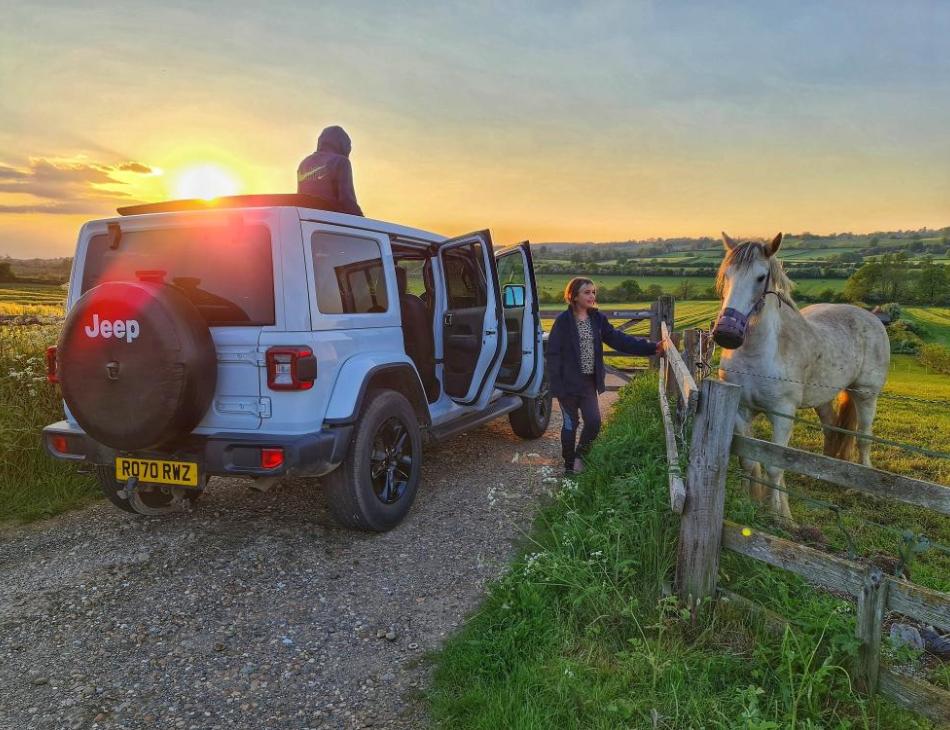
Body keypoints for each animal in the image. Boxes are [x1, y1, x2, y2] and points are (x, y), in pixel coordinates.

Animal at [712, 230, 892, 520]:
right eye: (726, 275)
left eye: (761, 277)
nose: (726, 333)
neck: (758, 354)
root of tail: (873, 317)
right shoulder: (740, 411)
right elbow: (749, 461)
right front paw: (751, 501)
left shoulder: (783, 415)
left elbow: (774, 466)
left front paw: (779, 514)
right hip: (824, 398)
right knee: (832, 429)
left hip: (866, 394)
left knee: (864, 437)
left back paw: (865, 488)